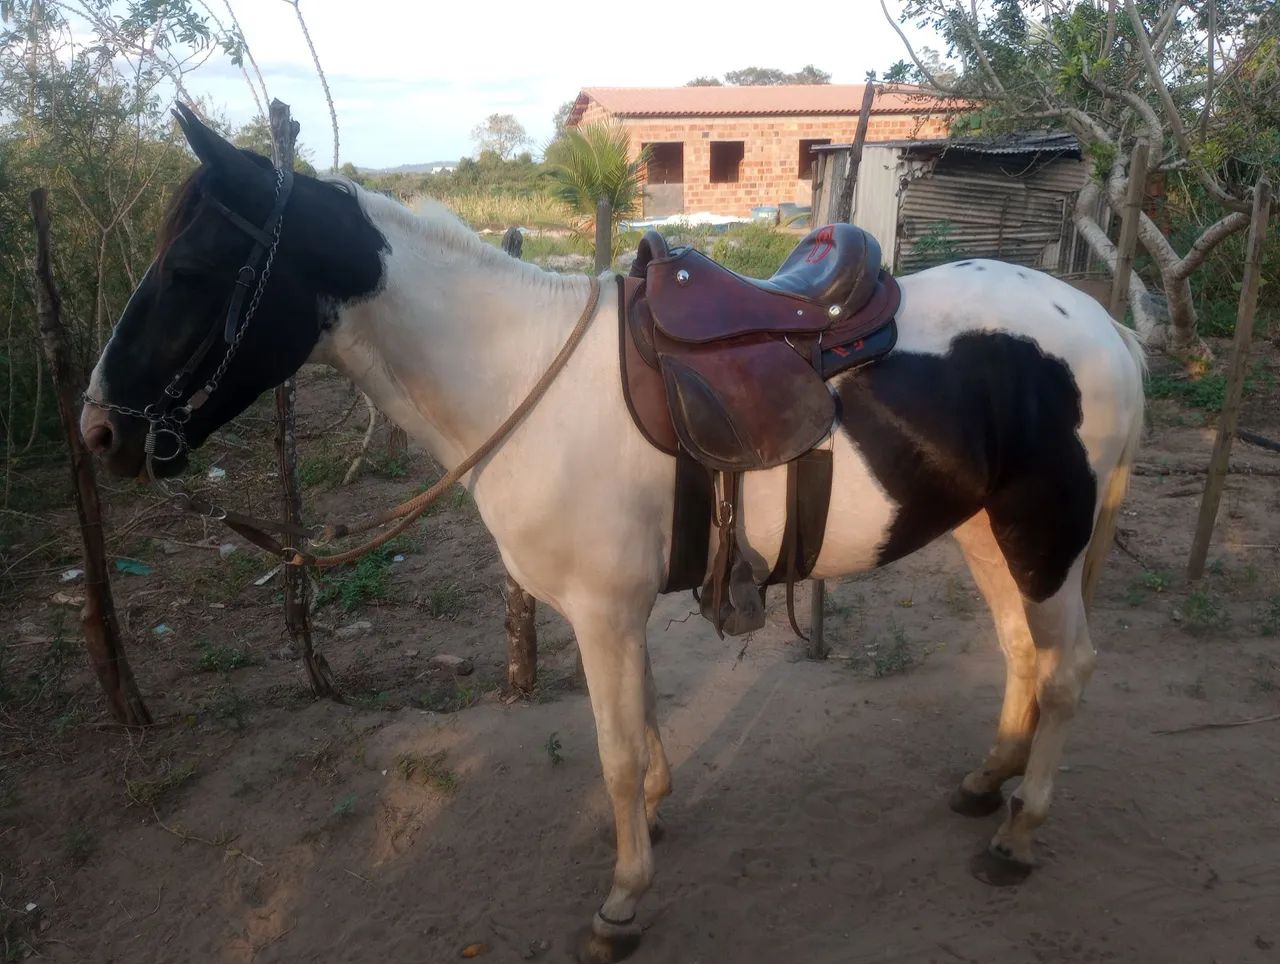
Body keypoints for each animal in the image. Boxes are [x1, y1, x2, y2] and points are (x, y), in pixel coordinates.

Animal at [80, 105, 1145, 962]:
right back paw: (987, 780)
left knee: (1072, 669)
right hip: (987, 529)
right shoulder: (622, 611)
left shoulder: (601, 610)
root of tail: (1105, 325)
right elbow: (646, 723)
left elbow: (615, 747)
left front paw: (623, 902)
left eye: (189, 267)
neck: (515, 374)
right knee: (1021, 650)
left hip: (1043, 530)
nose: (100, 432)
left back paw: (1019, 833)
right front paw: (654, 822)